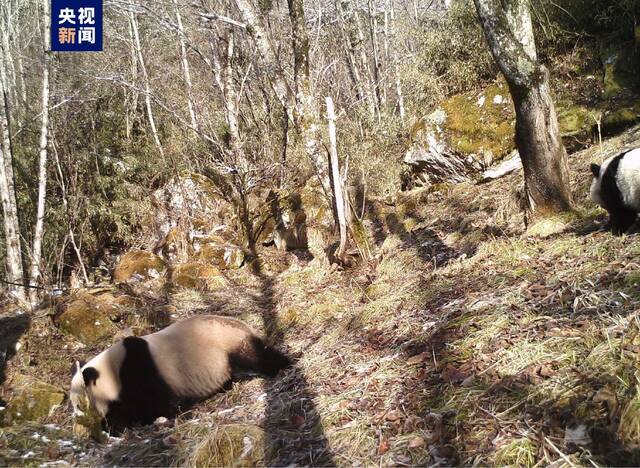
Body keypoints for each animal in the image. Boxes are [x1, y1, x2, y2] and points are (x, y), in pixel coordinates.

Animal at [70, 316, 290, 434]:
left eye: (79, 404)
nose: (79, 420)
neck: (111, 368)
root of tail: (247, 326)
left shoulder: (138, 371)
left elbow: (150, 404)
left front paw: (114, 426)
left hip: (231, 341)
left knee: (256, 356)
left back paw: (281, 366)